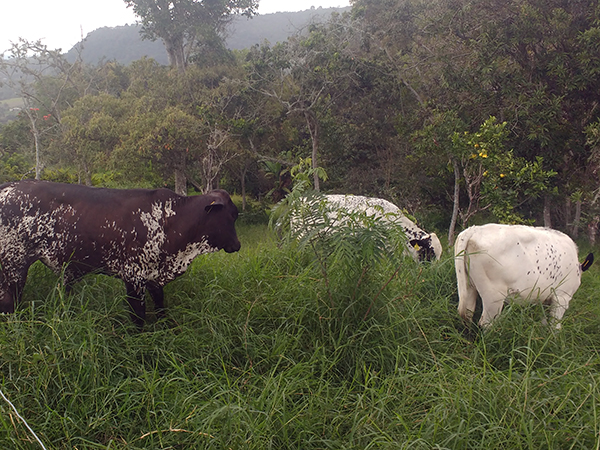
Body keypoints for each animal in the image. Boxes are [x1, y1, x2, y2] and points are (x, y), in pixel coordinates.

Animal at [0, 180, 241, 326]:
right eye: (232, 215)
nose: (237, 245)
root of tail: (8, 187)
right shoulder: (133, 277)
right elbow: (138, 317)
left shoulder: (154, 278)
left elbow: (161, 308)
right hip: (14, 267)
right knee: (9, 303)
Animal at [458, 223, 592, 328]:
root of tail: (476, 229)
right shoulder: (562, 296)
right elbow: (555, 326)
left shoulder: (545, 299)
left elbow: (543, 322)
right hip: (493, 295)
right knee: (486, 323)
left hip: (469, 287)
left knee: (467, 315)